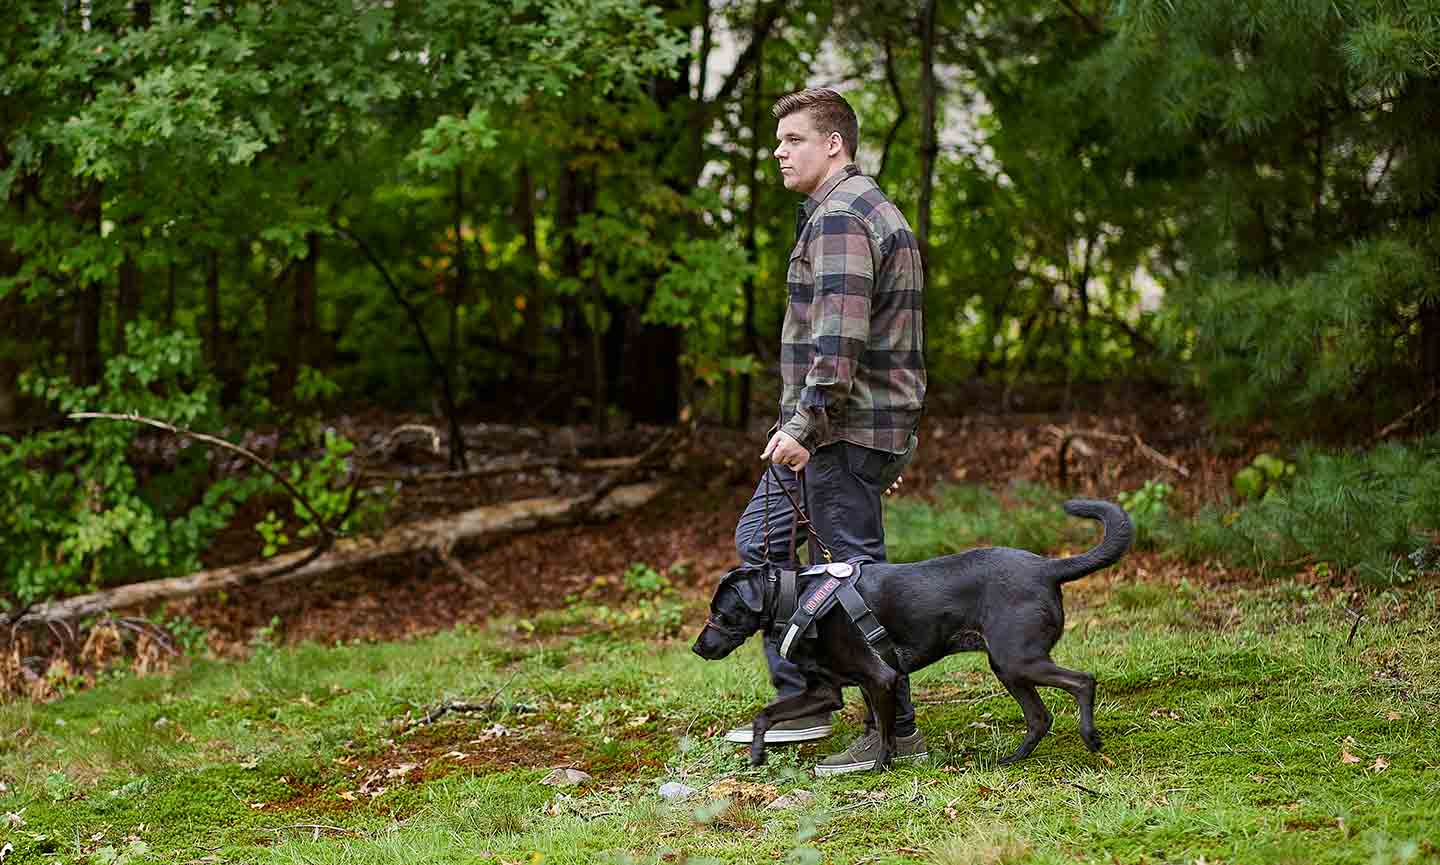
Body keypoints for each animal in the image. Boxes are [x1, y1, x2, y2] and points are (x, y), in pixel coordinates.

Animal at [691, 497, 1128, 771]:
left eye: (720, 613)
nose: (697, 648)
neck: (794, 597)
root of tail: (1047, 567)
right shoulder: (829, 691)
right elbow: (765, 714)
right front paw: (757, 754)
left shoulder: (881, 679)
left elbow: (885, 734)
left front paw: (878, 769)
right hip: (1007, 666)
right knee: (1039, 717)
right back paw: (1012, 759)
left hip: (1018, 658)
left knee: (1083, 681)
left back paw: (1090, 736)